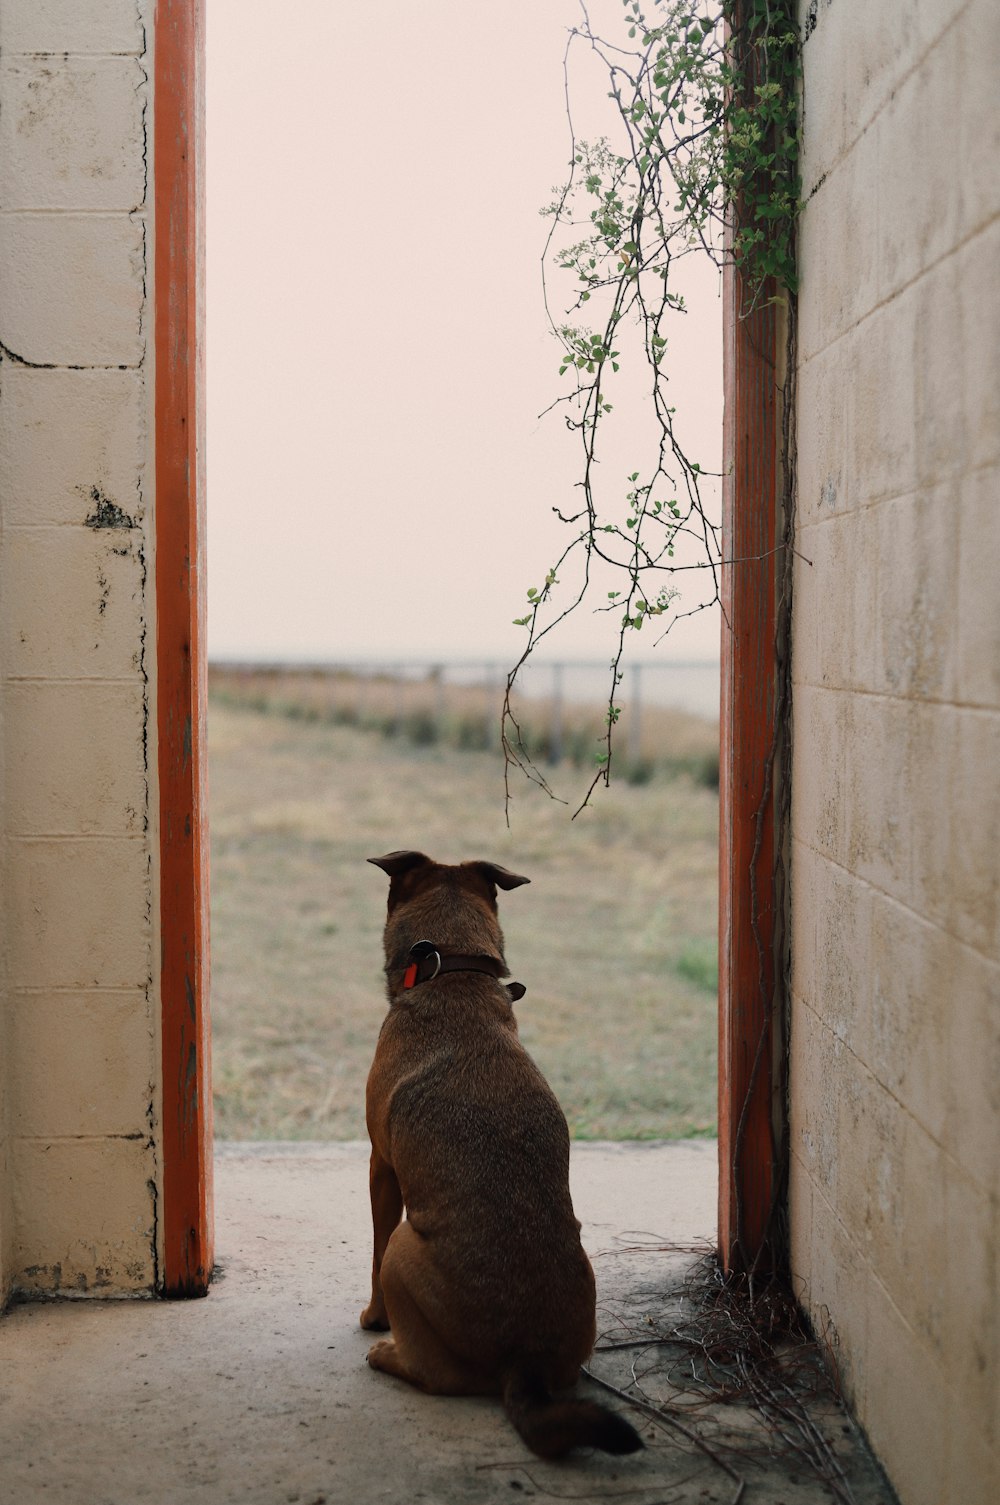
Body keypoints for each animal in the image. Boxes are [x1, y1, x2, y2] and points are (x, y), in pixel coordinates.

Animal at [362, 854, 644, 1462]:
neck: (452, 972)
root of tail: (524, 1361)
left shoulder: (380, 1168)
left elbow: (371, 1251)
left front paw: (372, 1320)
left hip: (403, 1248)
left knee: (435, 1374)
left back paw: (388, 1354)